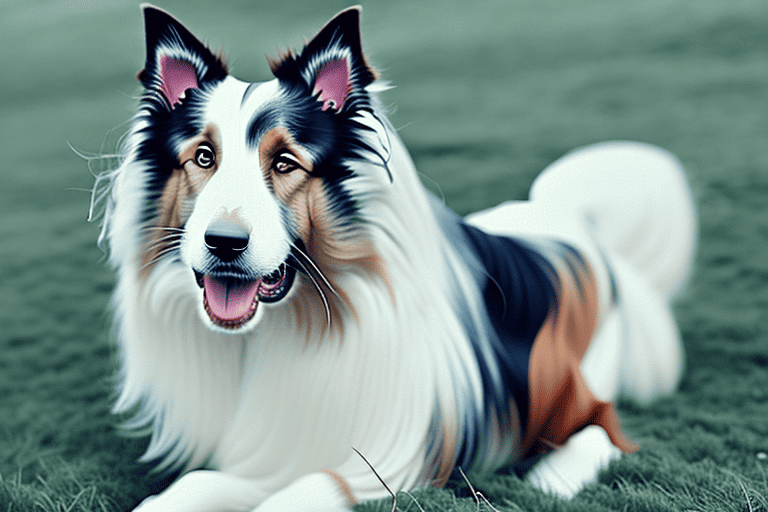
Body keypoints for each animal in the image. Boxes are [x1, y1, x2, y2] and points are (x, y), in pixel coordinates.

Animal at [94, 5, 696, 512]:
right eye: (203, 157)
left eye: (286, 163)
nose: (223, 242)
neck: (290, 326)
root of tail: (567, 221)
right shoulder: (266, 455)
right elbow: (189, 488)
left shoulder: (395, 460)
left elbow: (309, 490)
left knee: (603, 428)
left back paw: (555, 477)